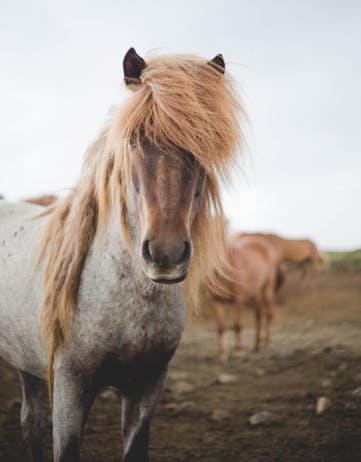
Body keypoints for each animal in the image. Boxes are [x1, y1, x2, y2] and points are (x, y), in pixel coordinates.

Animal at [0, 48, 245, 460]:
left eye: (203, 145)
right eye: (132, 142)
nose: (165, 253)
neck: (131, 302)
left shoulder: (146, 388)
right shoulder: (70, 389)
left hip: (27, 365)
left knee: (30, 422)